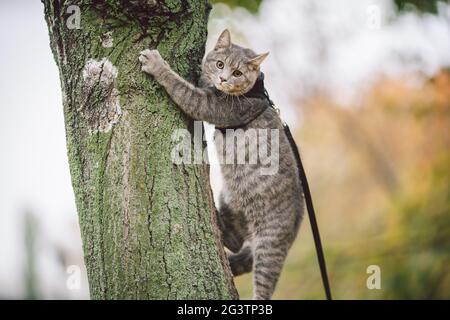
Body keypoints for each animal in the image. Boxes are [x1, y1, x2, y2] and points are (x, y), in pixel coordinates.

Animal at [139, 30, 304, 300]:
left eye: (237, 73)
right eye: (219, 64)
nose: (224, 78)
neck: (254, 91)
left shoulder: (210, 105)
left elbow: (182, 87)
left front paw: (157, 65)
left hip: (269, 247)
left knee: (260, 284)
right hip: (231, 198)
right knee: (235, 241)